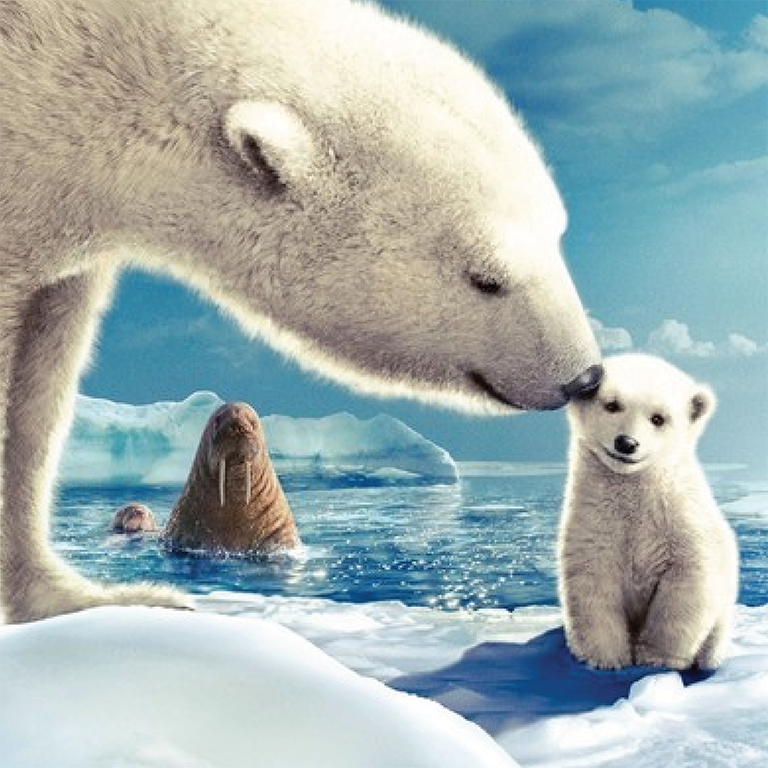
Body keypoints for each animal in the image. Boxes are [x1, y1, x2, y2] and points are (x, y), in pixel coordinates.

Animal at [557, 353, 739, 670]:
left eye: (658, 418)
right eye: (612, 404)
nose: (626, 443)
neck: (634, 487)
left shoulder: (681, 521)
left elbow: (687, 586)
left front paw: (657, 658)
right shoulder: (594, 519)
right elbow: (592, 584)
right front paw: (605, 658)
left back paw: (710, 659)